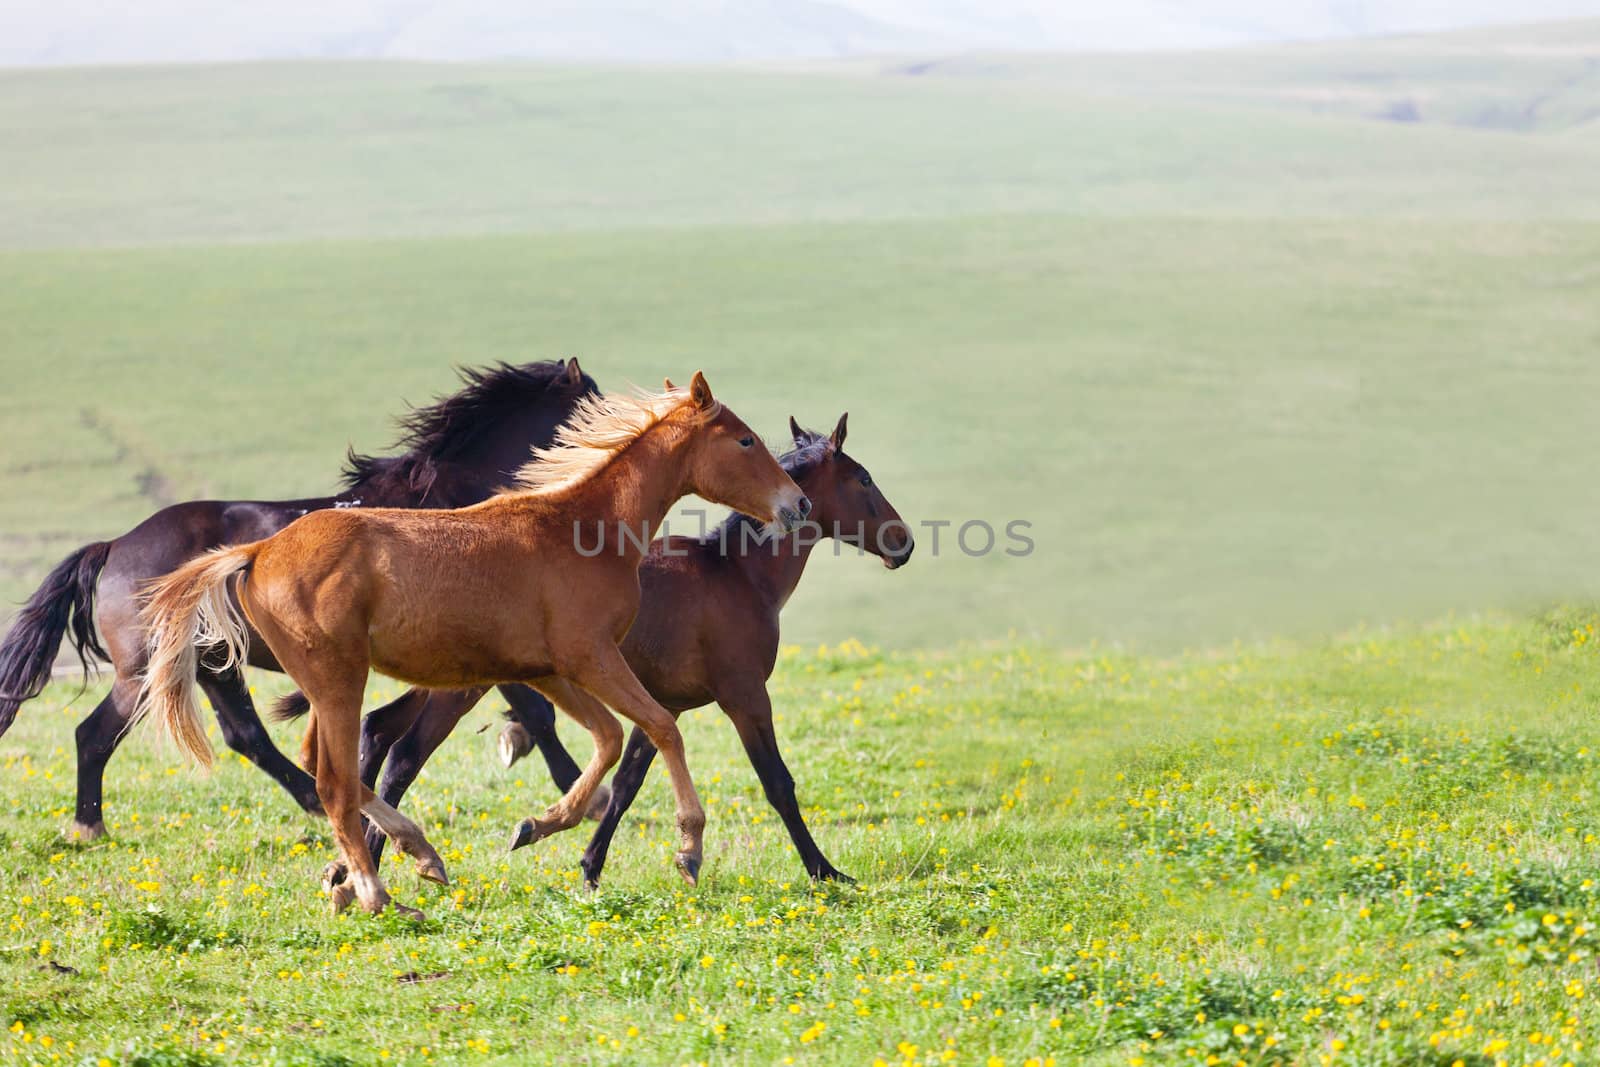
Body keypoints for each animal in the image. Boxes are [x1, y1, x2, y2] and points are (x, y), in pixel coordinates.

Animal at [0, 361, 598, 844]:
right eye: (592, 405)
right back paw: (89, 827)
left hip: (214, 665)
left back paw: (315, 800)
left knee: (245, 735)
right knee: (93, 735)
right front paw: (580, 793)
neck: (450, 501)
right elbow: (537, 711)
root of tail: (115, 546)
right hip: (146, 670)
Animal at [137, 375, 812, 921]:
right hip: (338, 680)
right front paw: (689, 846)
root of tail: (257, 553)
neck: (582, 528)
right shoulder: (591, 657)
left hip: (329, 685)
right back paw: (379, 894)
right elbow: (660, 727)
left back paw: (414, 855)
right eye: (745, 441)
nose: (798, 503)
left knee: (331, 766)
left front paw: (539, 824)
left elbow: (608, 739)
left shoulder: (547, 671)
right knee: (333, 781)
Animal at [324, 412, 915, 889]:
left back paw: (353, 866)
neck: (737, 576)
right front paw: (826, 871)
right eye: (863, 478)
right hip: (460, 690)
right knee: (404, 757)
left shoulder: (663, 704)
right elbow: (778, 783)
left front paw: (590, 867)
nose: (903, 543)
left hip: (442, 682)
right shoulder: (745, 696)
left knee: (378, 730)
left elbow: (630, 780)